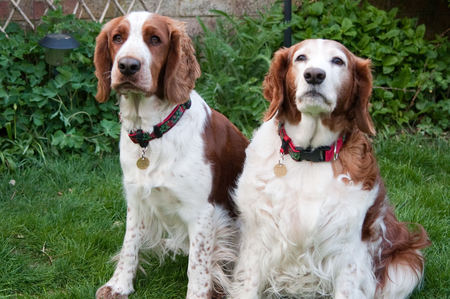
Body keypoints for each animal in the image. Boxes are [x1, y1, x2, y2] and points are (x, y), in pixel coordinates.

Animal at [94, 11, 248, 299]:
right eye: (117, 37)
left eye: (155, 39)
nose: (128, 66)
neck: (152, 132)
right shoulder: (136, 199)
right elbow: (129, 244)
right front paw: (119, 285)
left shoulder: (201, 212)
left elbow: (197, 267)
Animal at [230, 39, 430, 298]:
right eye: (301, 57)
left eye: (338, 61)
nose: (314, 75)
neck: (310, 155)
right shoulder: (258, 235)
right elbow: (248, 284)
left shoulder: (349, 251)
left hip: (408, 263)